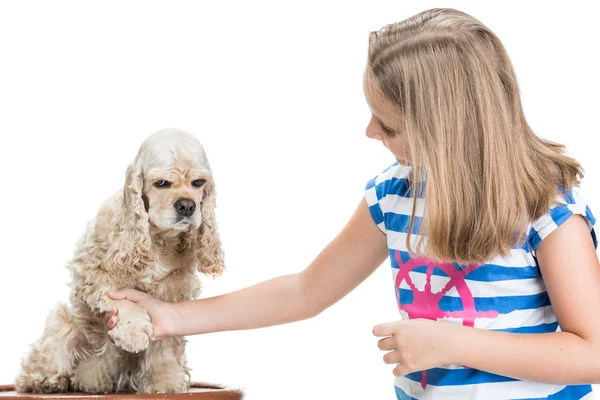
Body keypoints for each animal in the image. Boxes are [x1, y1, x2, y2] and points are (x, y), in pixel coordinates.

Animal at [14, 129, 225, 394]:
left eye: (198, 183)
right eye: (161, 183)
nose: (187, 206)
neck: (159, 240)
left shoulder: (174, 290)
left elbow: (164, 345)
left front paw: (165, 383)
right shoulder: (91, 273)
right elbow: (123, 299)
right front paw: (133, 333)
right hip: (63, 322)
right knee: (36, 367)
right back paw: (49, 382)